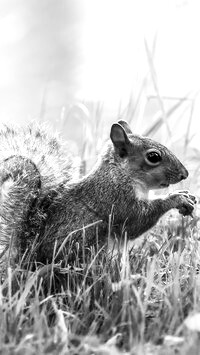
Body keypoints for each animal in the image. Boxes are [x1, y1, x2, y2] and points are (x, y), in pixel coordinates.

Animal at [0, 119, 197, 264]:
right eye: (153, 157)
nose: (185, 174)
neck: (121, 174)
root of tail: (31, 257)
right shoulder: (116, 199)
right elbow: (136, 221)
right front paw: (176, 198)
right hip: (89, 238)